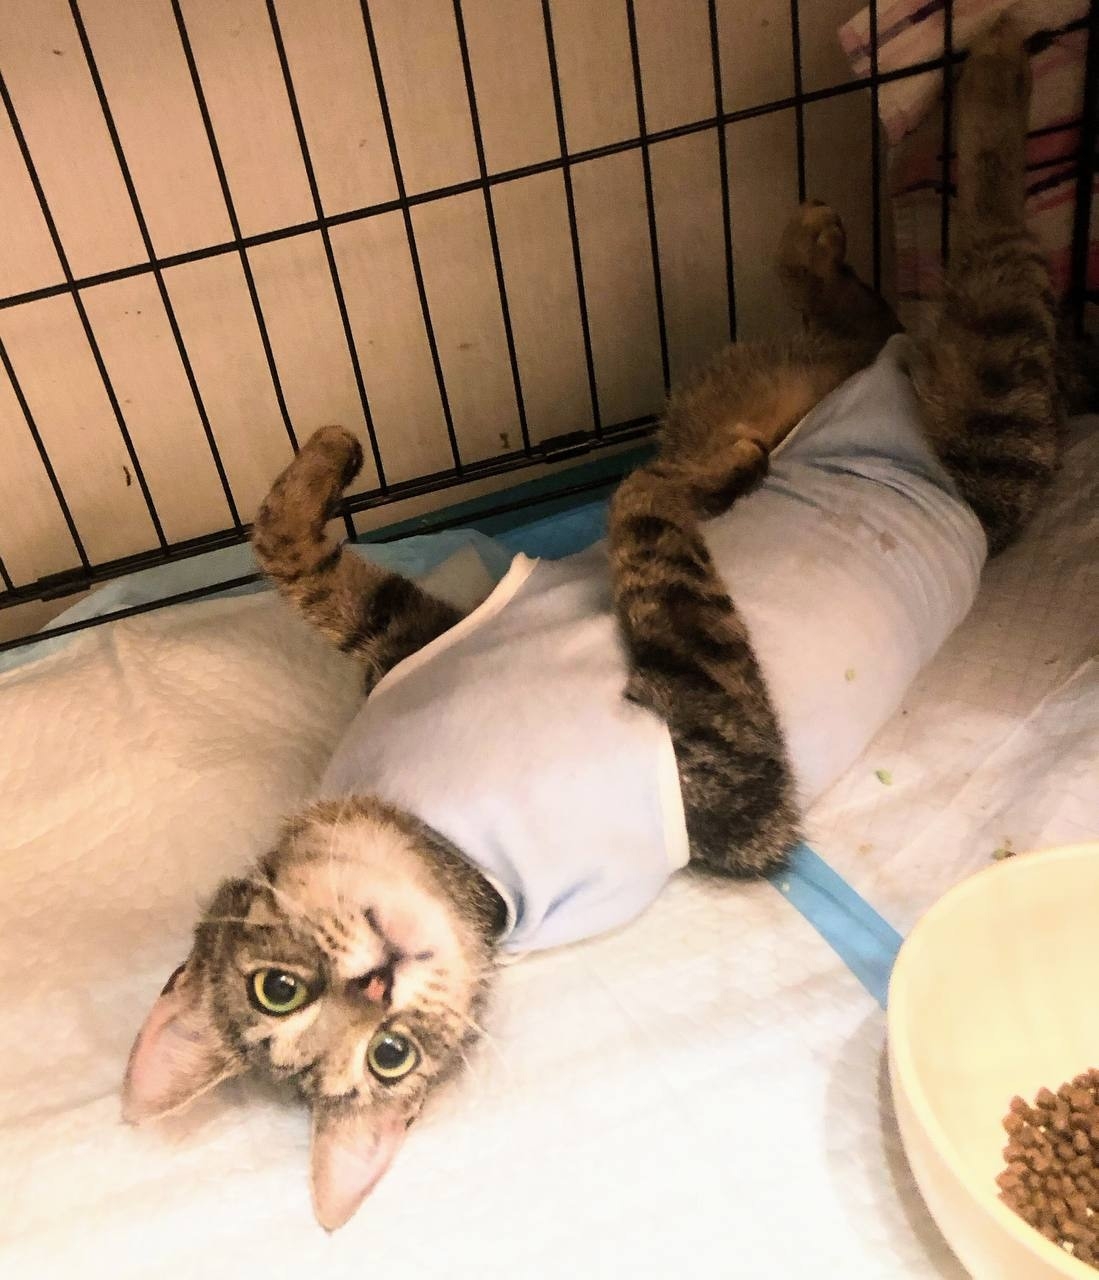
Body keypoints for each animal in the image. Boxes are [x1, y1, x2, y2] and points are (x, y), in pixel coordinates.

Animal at [122, 18, 1067, 1231]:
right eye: (385, 1056)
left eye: (274, 987)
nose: (378, 982)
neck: (438, 832)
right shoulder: (739, 782)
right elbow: (640, 513)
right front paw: (702, 478)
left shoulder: (414, 633)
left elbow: (300, 560)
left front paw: (323, 462)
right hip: (990, 434)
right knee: (987, 258)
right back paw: (989, 64)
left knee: (879, 316)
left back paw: (825, 234)